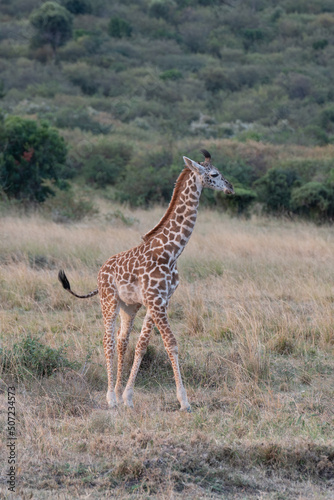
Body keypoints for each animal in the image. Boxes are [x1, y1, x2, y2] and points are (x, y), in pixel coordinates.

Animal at [58, 150, 234, 412]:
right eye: (214, 174)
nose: (230, 187)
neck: (171, 252)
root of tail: (100, 271)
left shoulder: (160, 301)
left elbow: (142, 346)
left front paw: (128, 397)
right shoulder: (156, 301)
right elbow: (171, 343)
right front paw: (184, 401)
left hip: (129, 307)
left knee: (122, 341)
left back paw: (117, 392)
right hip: (109, 301)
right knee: (107, 340)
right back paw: (110, 397)